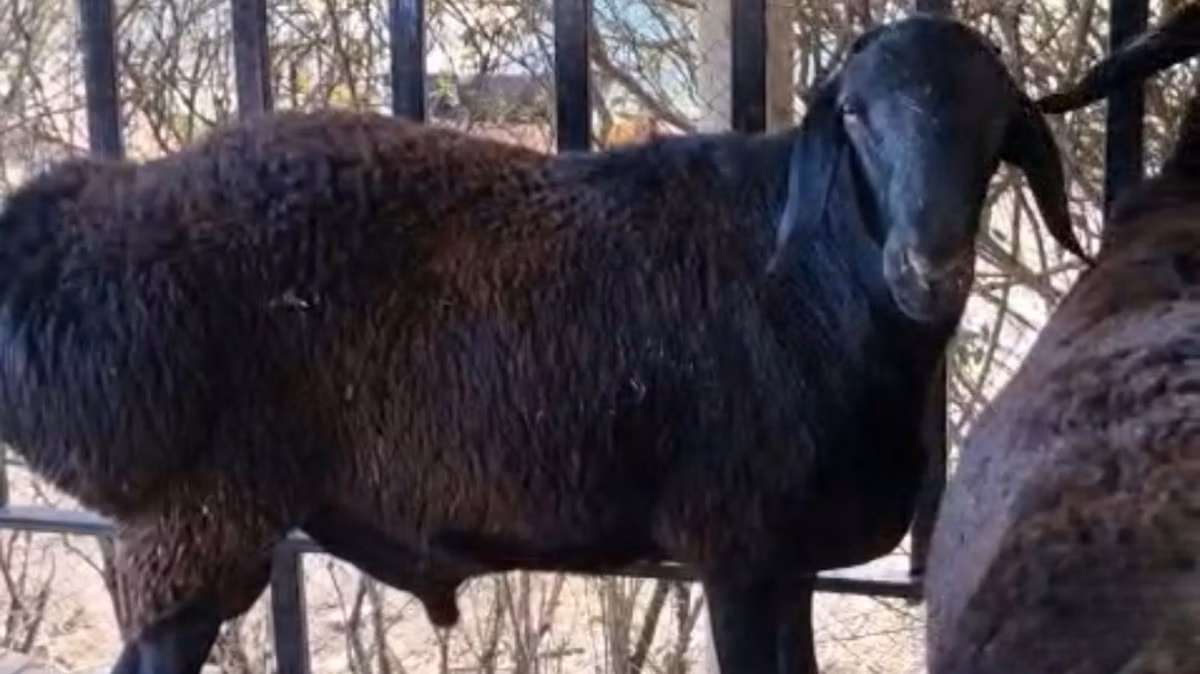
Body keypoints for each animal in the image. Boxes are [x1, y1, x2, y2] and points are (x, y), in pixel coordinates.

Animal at [0, 14, 1088, 674]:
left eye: (999, 121)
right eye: (855, 115)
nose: (928, 269)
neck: (811, 276)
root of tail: (76, 230)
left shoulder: (787, 554)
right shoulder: (736, 543)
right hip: (198, 517)